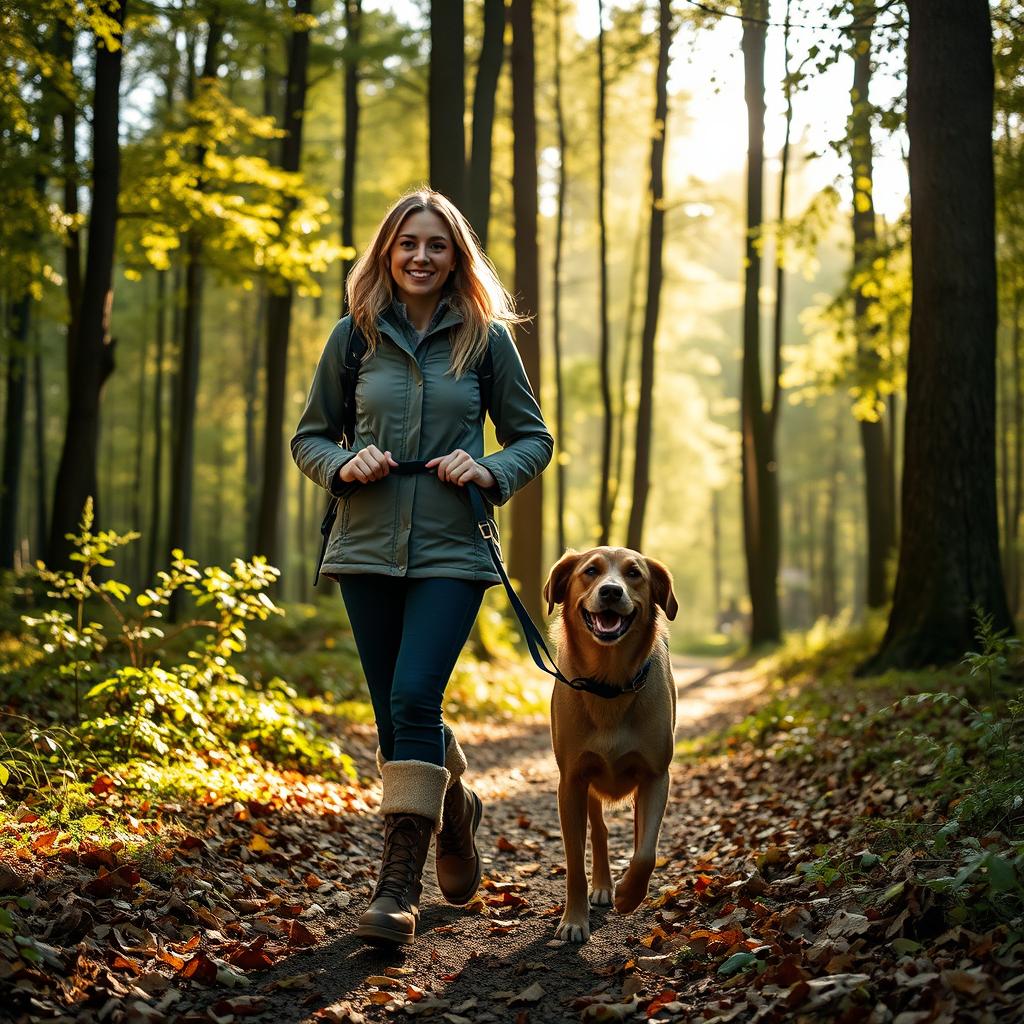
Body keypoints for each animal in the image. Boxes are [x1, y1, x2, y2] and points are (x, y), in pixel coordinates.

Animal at [540, 544, 675, 942]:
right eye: (591, 571)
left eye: (634, 574)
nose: (612, 592)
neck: (609, 683)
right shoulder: (571, 782)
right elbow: (574, 862)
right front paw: (574, 919)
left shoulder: (656, 777)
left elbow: (646, 852)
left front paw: (630, 894)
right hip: (588, 787)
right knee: (598, 833)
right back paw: (602, 884)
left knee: (637, 836)